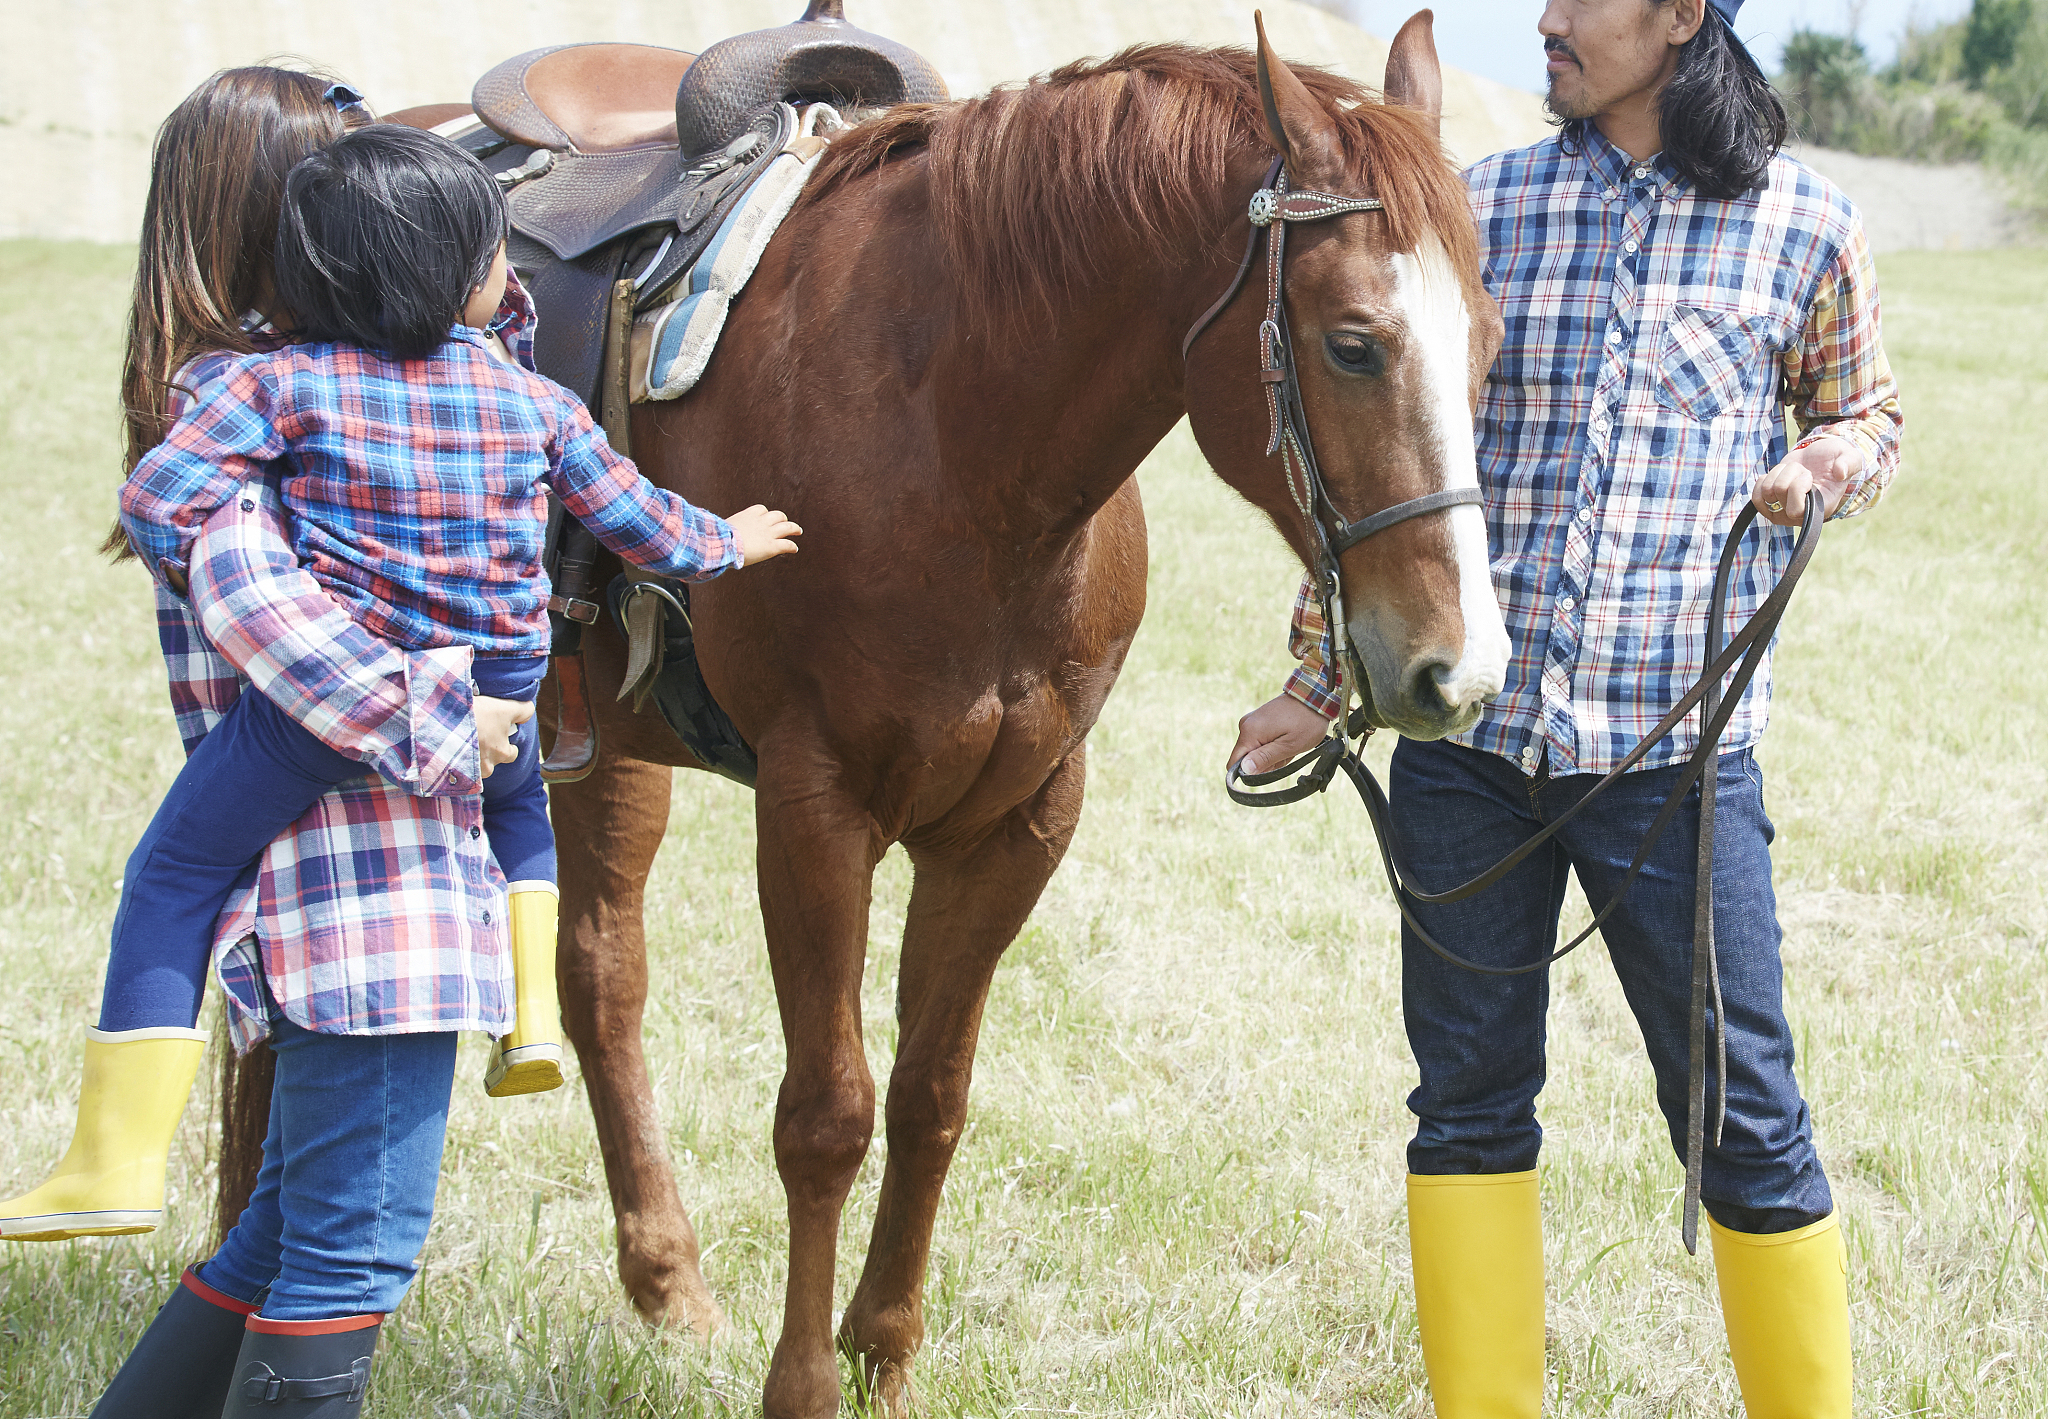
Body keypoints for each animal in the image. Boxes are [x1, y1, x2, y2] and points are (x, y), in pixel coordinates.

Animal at [228, 13, 1507, 1416]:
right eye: (1351, 342)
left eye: (1493, 340)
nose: (1456, 669)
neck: (960, 439)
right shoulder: (813, 810)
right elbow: (825, 1114)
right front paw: (801, 1382)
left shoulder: (1017, 823)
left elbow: (930, 1095)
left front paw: (883, 1353)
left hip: (600, 749)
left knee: (599, 980)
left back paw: (668, 1287)